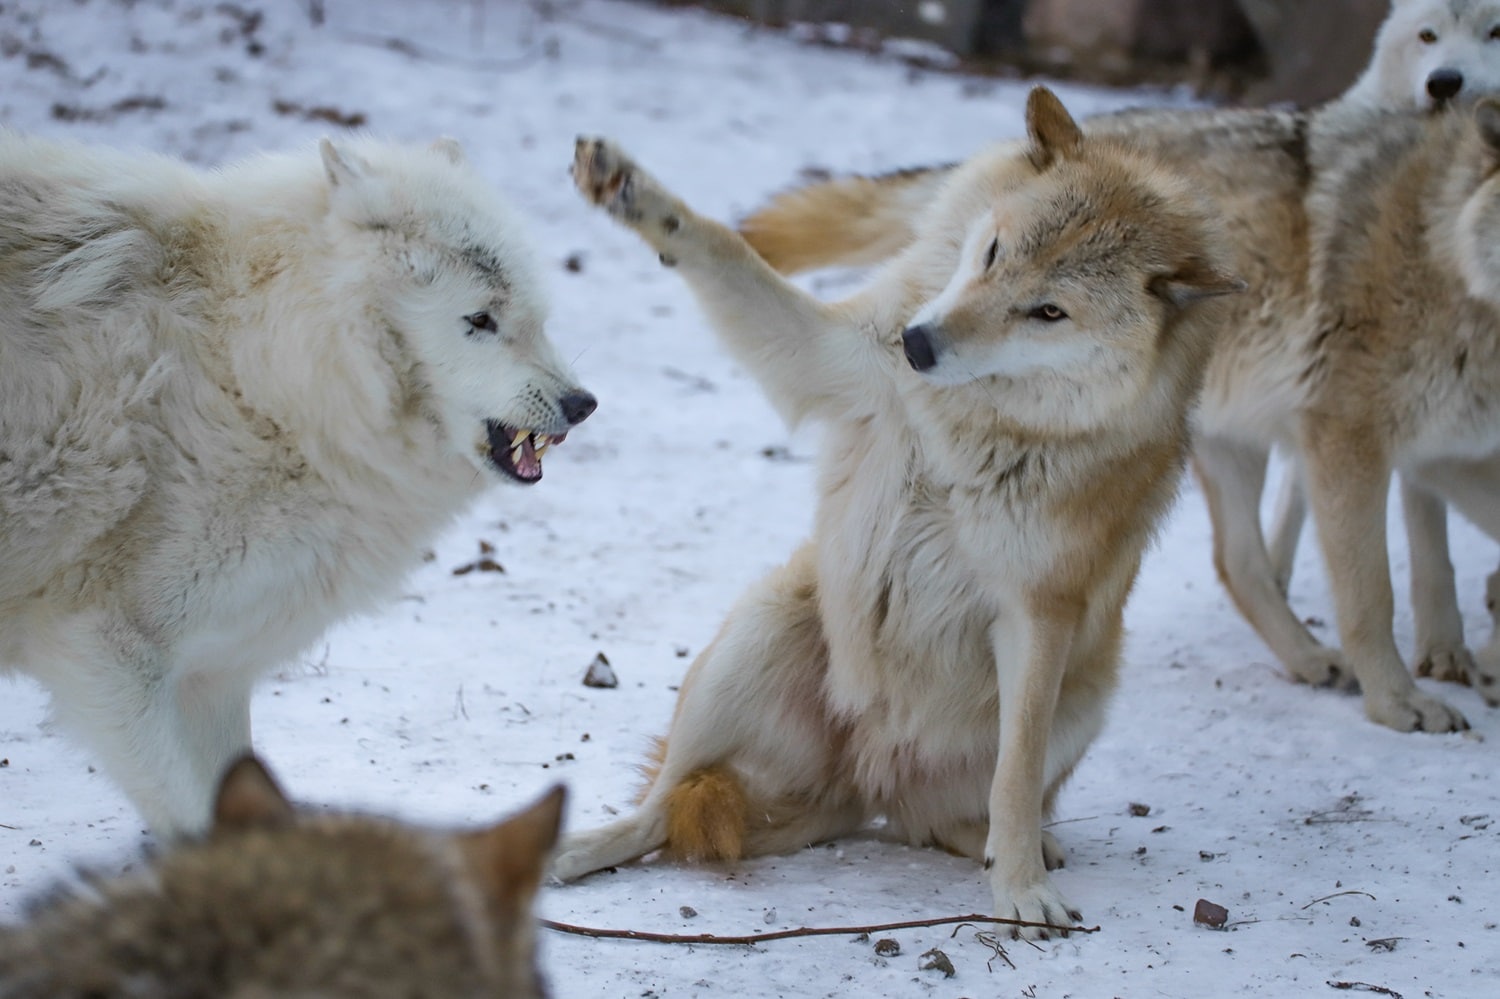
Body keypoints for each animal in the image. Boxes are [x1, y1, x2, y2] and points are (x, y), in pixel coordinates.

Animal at [0, 131, 596, 837]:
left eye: (537, 317)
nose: (583, 404)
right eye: (479, 320)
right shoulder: (101, 652)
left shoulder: (210, 673)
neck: (255, 375)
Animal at [554, 88, 1241, 938]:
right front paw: (629, 190)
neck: (971, 427)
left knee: (955, 816)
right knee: (662, 806)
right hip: (756, 634)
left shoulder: (1038, 614)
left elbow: (1015, 780)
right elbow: (719, 246)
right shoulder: (834, 357)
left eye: (1049, 311)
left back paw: (1009, 847)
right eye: (992, 252)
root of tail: (864, 785)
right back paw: (565, 850)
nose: (917, 344)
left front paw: (1021, 888)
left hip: (1086, 694)